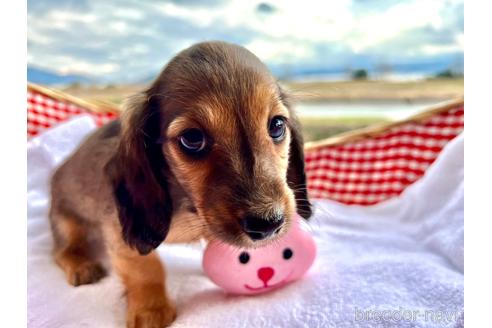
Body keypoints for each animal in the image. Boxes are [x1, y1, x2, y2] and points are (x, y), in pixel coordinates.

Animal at [49, 41, 312, 328]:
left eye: (277, 125)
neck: (190, 208)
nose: (267, 225)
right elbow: (145, 268)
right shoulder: (119, 232)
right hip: (66, 221)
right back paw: (81, 265)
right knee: (63, 250)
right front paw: (150, 310)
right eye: (192, 138)